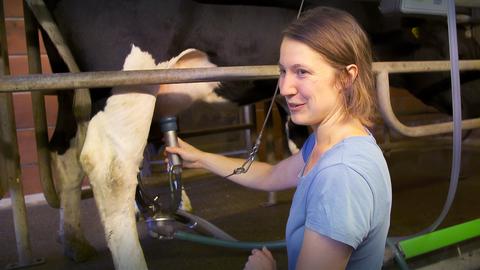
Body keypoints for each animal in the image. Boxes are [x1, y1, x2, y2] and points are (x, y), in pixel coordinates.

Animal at [35, 1, 480, 268]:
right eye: (461, 41)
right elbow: (302, 139)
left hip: (69, 85)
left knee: (65, 153)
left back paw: (74, 241)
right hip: (126, 76)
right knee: (110, 166)